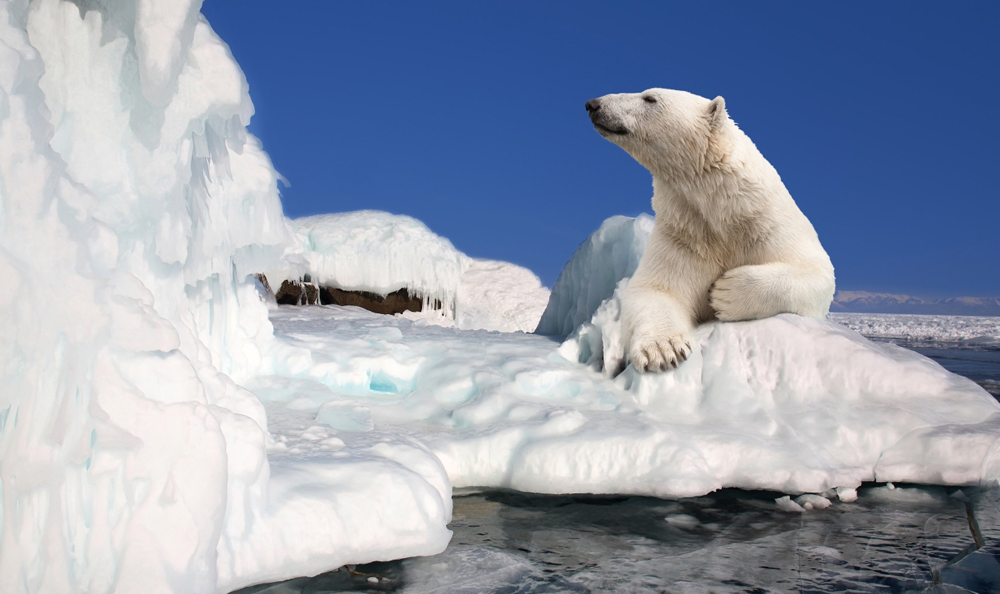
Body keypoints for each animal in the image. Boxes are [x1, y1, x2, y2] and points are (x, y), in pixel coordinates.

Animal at [584, 88, 836, 370]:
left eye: (649, 98)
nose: (593, 104)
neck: (724, 213)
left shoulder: (769, 224)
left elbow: (816, 272)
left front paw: (726, 292)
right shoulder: (684, 233)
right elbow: (656, 289)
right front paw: (663, 349)